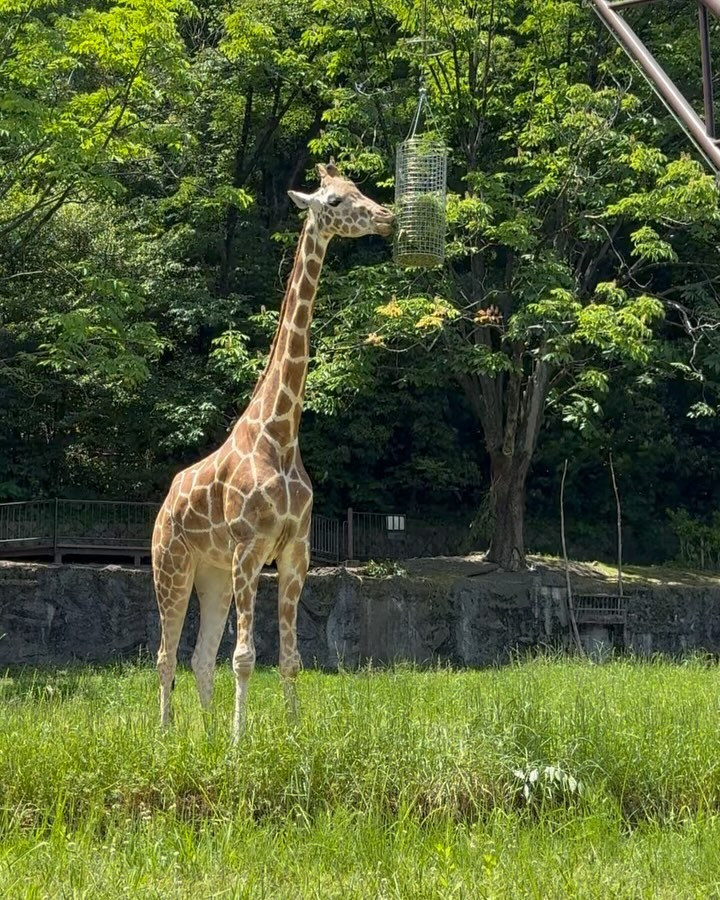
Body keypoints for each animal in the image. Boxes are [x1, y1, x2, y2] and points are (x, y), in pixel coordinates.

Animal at [153, 162, 396, 740]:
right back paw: (167, 736)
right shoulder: (249, 548)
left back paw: (205, 734)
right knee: (166, 656)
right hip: (171, 565)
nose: (388, 217)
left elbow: (289, 659)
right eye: (334, 201)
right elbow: (244, 657)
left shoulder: (294, 551)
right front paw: (241, 744)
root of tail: (163, 504)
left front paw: (289, 734)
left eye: (358, 189)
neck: (280, 436)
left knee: (197, 657)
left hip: (212, 575)